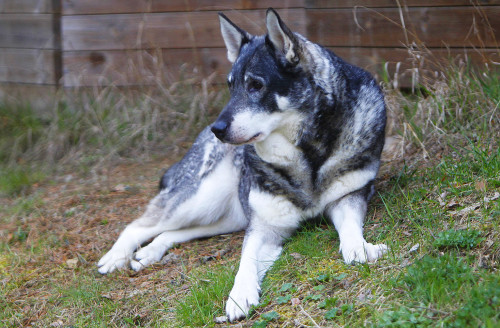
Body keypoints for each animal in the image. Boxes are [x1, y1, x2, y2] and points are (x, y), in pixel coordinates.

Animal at [96, 9, 386, 322]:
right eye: (230, 86)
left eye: (255, 85)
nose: (218, 129)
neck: (307, 152)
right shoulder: (262, 228)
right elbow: (246, 261)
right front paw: (239, 295)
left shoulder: (349, 198)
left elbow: (351, 230)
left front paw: (360, 249)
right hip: (200, 199)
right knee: (137, 225)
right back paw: (115, 257)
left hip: (224, 216)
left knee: (172, 232)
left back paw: (149, 252)